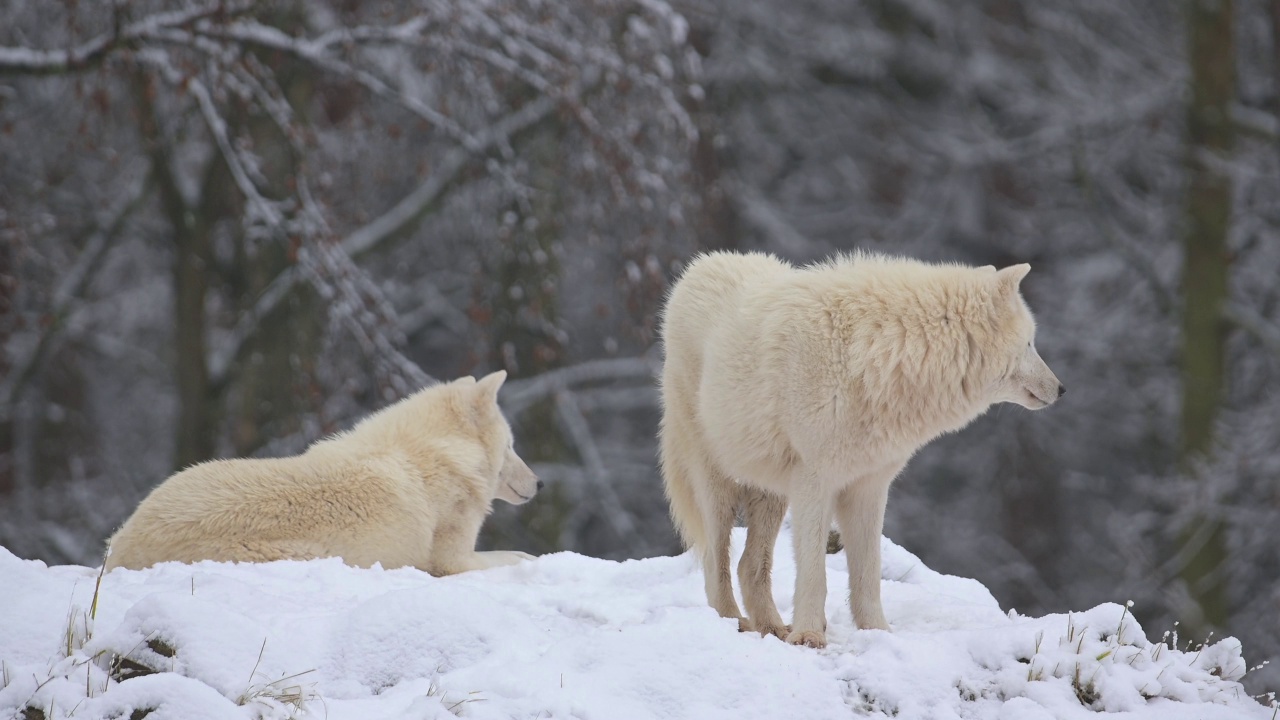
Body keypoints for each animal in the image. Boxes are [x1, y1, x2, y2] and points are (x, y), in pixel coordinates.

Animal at [102, 368, 537, 571]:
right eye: (512, 446)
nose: (540, 483)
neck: (436, 454)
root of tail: (120, 546)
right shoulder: (452, 561)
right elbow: (515, 556)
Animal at [660, 251, 1059, 645]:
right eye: (1029, 343)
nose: (1061, 388)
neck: (881, 355)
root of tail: (700, 264)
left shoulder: (869, 486)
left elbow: (868, 573)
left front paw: (877, 633)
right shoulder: (815, 481)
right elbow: (814, 573)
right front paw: (809, 635)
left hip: (770, 493)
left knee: (748, 565)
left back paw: (773, 628)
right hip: (717, 485)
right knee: (715, 561)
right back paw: (734, 623)